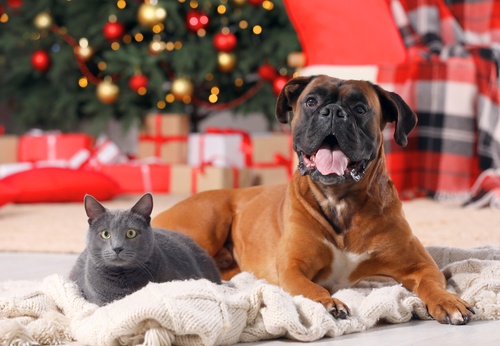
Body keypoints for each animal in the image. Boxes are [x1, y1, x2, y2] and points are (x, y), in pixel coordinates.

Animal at [154, 75, 474, 324]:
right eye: (311, 102)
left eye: (360, 108)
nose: (332, 112)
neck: (340, 201)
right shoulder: (293, 269)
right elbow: (311, 289)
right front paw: (328, 302)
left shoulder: (419, 265)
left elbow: (432, 283)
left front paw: (447, 301)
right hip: (208, 222)